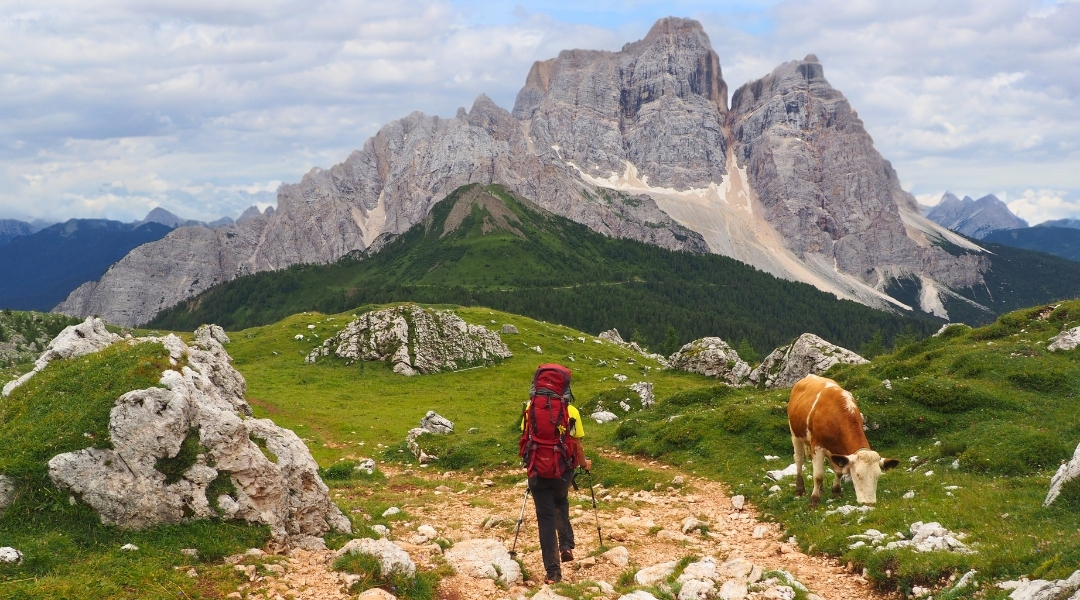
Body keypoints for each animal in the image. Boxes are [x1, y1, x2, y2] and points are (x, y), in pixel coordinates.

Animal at [790, 375, 898, 507]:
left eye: (878, 476)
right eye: (857, 475)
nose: (869, 503)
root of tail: (810, 376)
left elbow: (839, 471)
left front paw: (836, 491)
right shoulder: (817, 446)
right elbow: (818, 475)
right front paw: (814, 500)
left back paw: (821, 489)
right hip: (795, 434)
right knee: (799, 459)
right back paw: (800, 489)